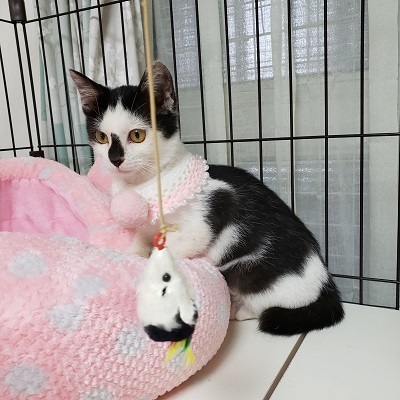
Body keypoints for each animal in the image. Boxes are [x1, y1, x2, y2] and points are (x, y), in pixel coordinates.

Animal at [70, 61, 344, 336]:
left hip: (249, 270)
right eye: (102, 137)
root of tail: (326, 285)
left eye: (137, 135)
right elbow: (140, 237)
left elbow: (174, 246)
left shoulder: (211, 211)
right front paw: (132, 252)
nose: (115, 159)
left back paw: (240, 310)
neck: (143, 184)